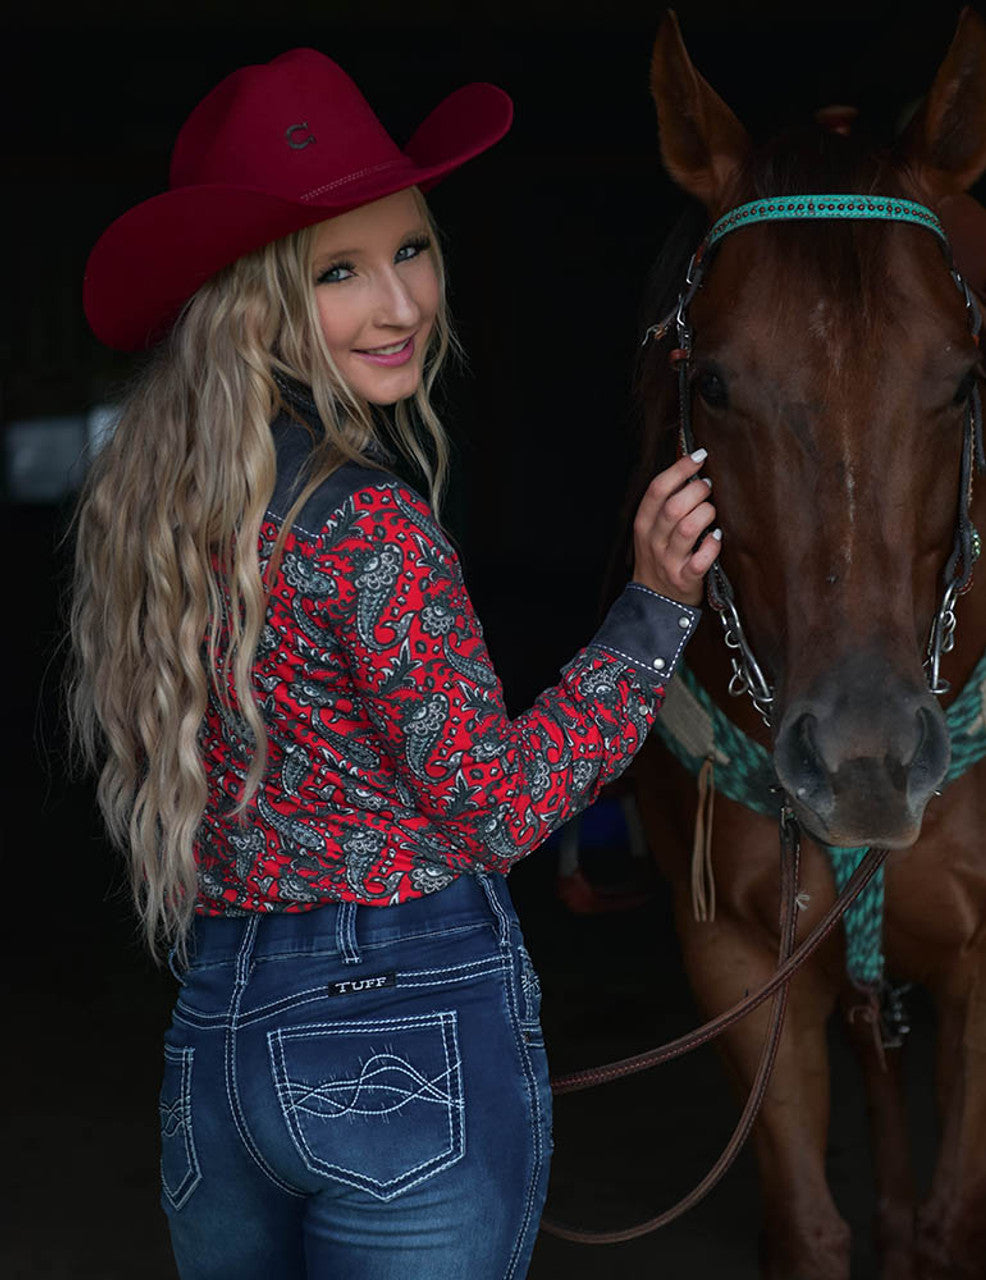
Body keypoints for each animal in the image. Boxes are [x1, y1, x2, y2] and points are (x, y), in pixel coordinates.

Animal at [622, 10, 983, 1280]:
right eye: (712, 381)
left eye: (960, 382)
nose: (867, 760)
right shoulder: (733, 956)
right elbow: (806, 1225)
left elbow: (959, 1218)